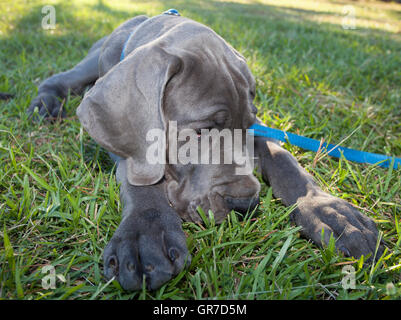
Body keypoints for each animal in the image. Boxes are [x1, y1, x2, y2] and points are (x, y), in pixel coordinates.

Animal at [26, 13, 382, 292]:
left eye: (247, 126)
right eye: (201, 132)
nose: (244, 204)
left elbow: (284, 158)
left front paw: (331, 213)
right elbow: (138, 177)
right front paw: (146, 233)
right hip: (91, 61)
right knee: (61, 78)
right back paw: (46, 103)